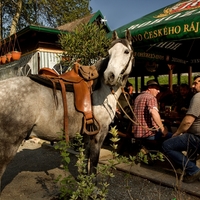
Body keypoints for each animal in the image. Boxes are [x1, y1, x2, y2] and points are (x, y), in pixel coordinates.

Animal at [0, 29, 134, 191]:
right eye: (109, 52)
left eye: (126, 51)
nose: (110, 76)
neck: (101, 90)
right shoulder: (100, 133)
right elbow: (94, 161)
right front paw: (93, 188)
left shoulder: (88, 134)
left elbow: (86, 157)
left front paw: (85, 182)